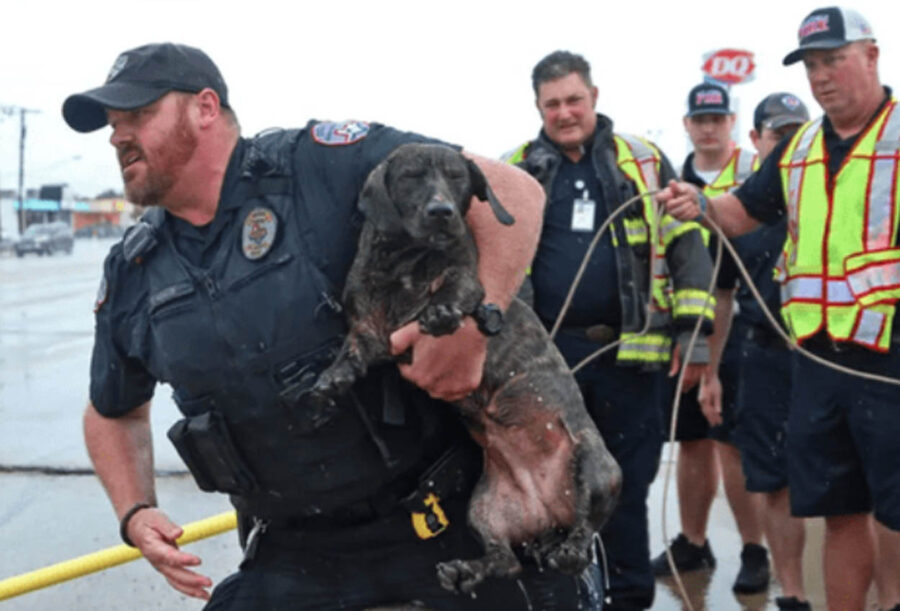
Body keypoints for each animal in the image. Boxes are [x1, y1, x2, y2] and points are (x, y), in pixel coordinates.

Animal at [312, 142, 624, 592]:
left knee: (585, 534)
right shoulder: (369, 331)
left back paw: (569, 551)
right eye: (410, 176)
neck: (403, 263)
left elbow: (455, 289)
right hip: (484, 511)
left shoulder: (465, 281)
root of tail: (548, 514)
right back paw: (465, 570)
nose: (442, 212)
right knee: (505, 562)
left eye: (457, 176)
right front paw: (331, 380)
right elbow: (350, 354)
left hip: (593, 466)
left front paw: (441, 312)